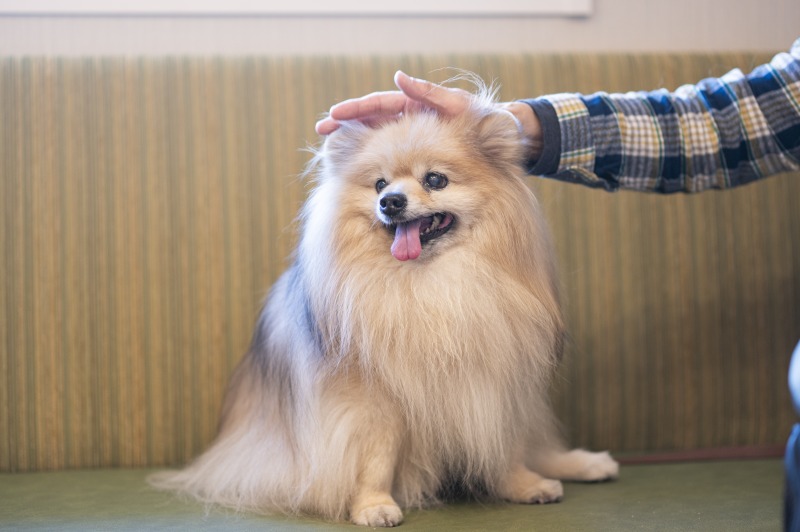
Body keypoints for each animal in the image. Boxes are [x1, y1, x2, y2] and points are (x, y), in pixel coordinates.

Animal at [150, 82, 620, 524]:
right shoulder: (372, 401)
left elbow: (504, 447)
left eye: (435, 180)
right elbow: (376, 456)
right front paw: (373, 505)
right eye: (378, 183)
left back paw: (584, 463)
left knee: (536, 444)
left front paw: (522, 485)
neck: (428, 285)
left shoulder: (489, 384)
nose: (390, 201)